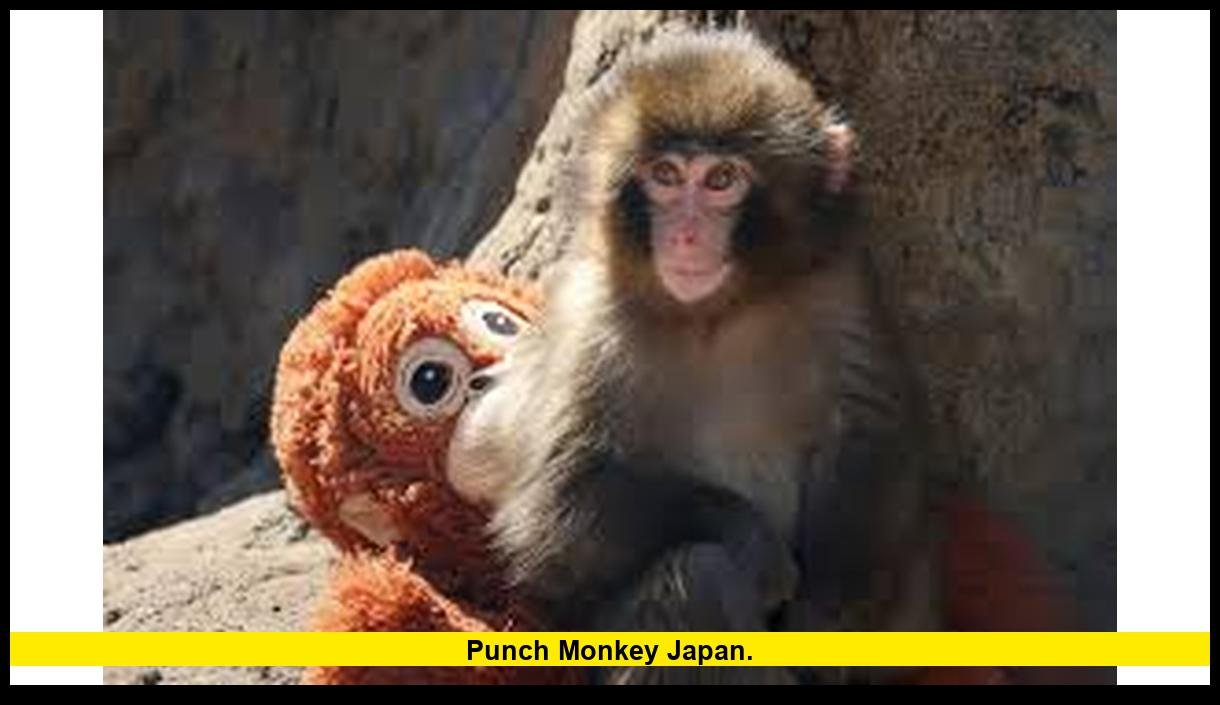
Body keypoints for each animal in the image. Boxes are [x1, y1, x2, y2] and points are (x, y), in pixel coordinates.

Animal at [447, 29, 941, 685]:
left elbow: (870, 434)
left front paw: (827, 616)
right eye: (665, 174)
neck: (715, 314)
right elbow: (558, 505)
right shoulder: (591, 320)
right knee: (696, 578)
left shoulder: (836, 285)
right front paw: (751, 541)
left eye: (720, 179)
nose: (684, 234)